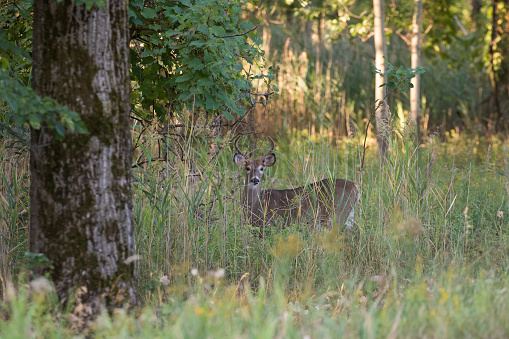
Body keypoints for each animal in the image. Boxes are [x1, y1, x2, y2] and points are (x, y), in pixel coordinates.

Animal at [232, 136, 360, 231]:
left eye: (262, 168)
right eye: (247, 168)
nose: (255, 180)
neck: (256, 204)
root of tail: (355, 186)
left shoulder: (273, 223)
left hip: (337, 214)